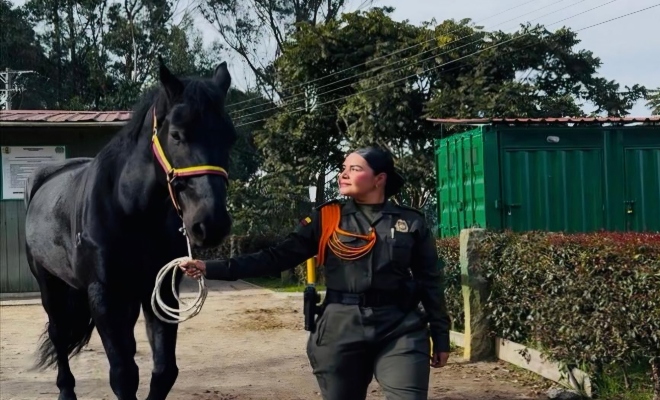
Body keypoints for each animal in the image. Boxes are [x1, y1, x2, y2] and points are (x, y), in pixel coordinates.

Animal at [23, 57, 236, 400]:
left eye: (231, 138)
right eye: (177, 135)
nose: (211, 223)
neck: (130, 210)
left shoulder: (159, 291)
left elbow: (164, 372)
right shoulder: (104, 295)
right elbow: (123, 375)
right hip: (50, 284)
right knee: (58, 335)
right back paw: (66, 391)